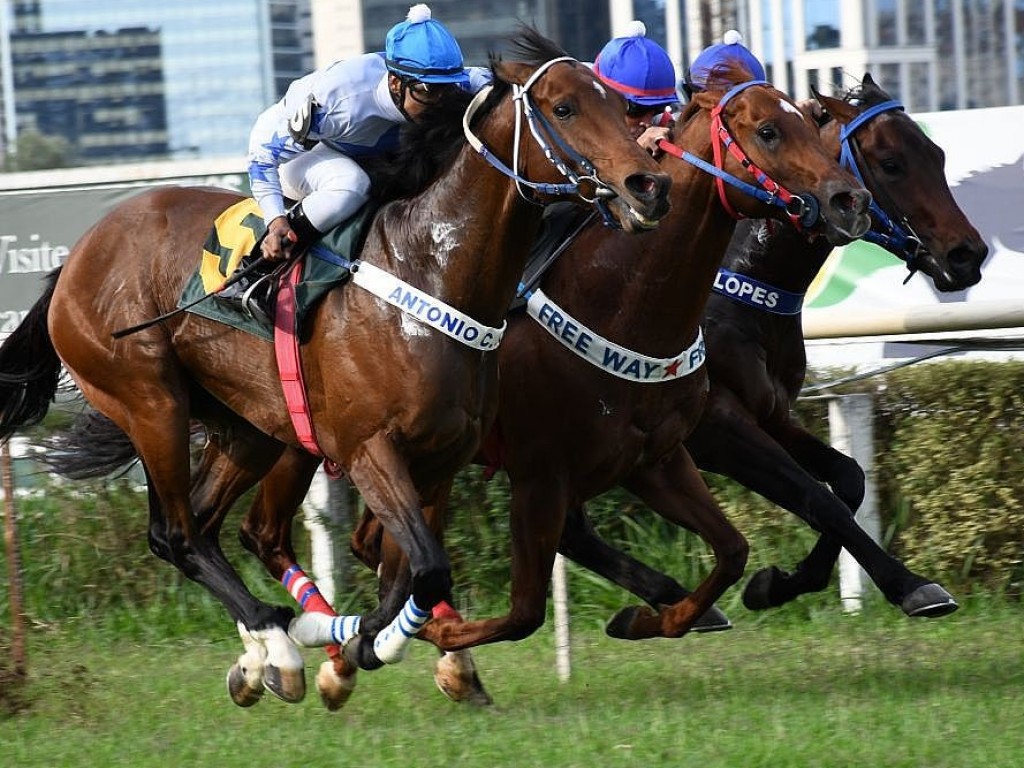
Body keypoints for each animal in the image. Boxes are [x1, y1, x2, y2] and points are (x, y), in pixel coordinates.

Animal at [0, 30, 671, 708]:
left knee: (208, 527)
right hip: (151, 403)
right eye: (564, 108)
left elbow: (410, 573)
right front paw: (352, 642)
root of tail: (75, 261)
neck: (429, 271)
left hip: (248, 427)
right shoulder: (369, 449)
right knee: (178, 535)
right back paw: (281, 641)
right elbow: (424, 569)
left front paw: (384, 646)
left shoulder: (440, 460)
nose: (648, 185)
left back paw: (264, 655)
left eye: (617, 105)